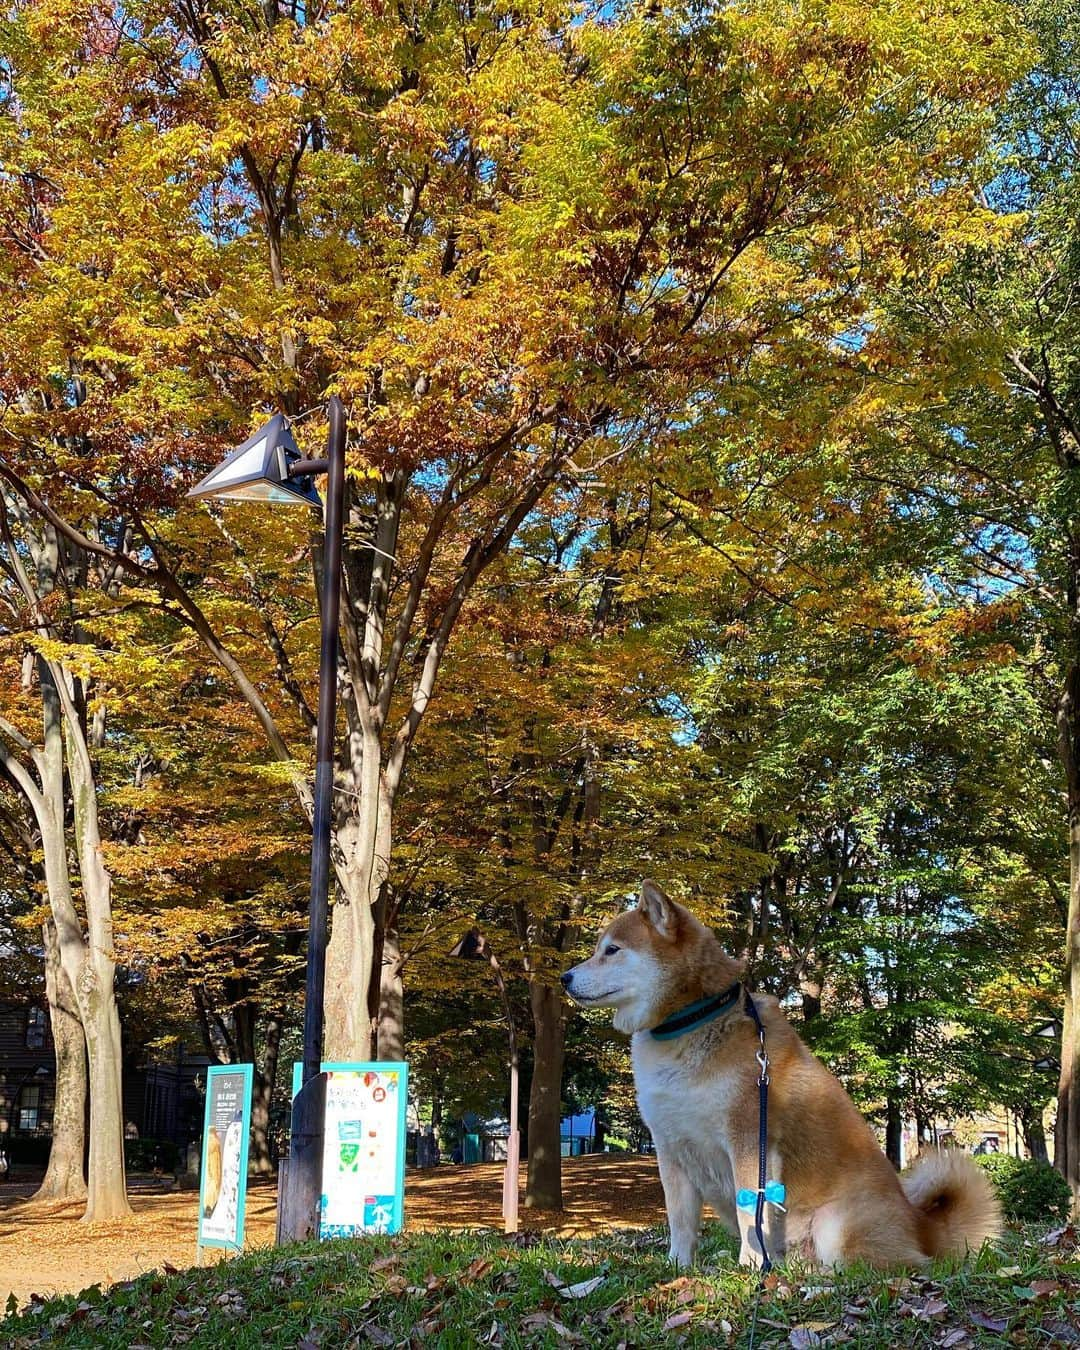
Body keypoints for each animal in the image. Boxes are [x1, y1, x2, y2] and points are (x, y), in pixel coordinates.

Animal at [561, 880, 999, 1269]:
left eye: (611, 950)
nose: (564, 977)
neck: (690, 1020)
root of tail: (921, 1227)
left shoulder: (748, 1138)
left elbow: (748, 1212)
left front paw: (750, 1267)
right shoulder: (670, 1148)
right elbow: (680, 1220)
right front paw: (677, 1265)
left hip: (836, 1222)